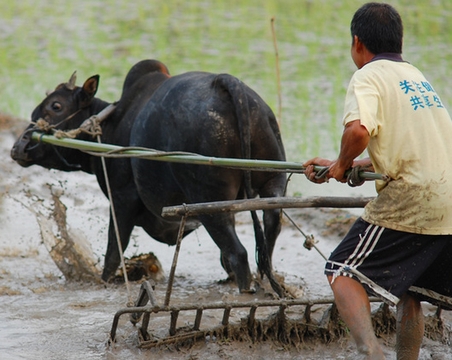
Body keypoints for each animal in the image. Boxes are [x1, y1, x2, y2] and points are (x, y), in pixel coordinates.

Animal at [11, 59, 286, 296]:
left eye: (55, 105)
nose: (19, 146)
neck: (111, 125)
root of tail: (226, 84)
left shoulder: (121, 199)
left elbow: (113, 252)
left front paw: (105, 281)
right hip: (272, 184)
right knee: (268, 236)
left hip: (210, 202)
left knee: (238, 253)